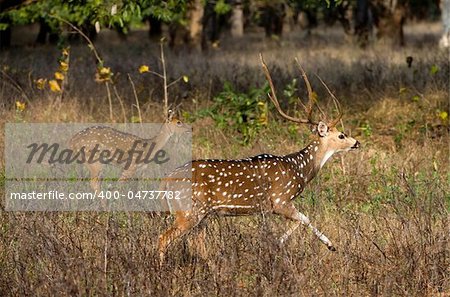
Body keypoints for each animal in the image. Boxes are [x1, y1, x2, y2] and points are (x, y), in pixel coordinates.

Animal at [156, 55, 360, 262]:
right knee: (163, 238)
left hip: (202, 214)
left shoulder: (269, 208)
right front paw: (330, 245)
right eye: (341, 135)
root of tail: (166, 179)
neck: (300, 169)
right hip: (189, 210)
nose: (357, 142)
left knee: (196, 242)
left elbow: (299, 221)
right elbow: (305, 218)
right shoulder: (280, 199)